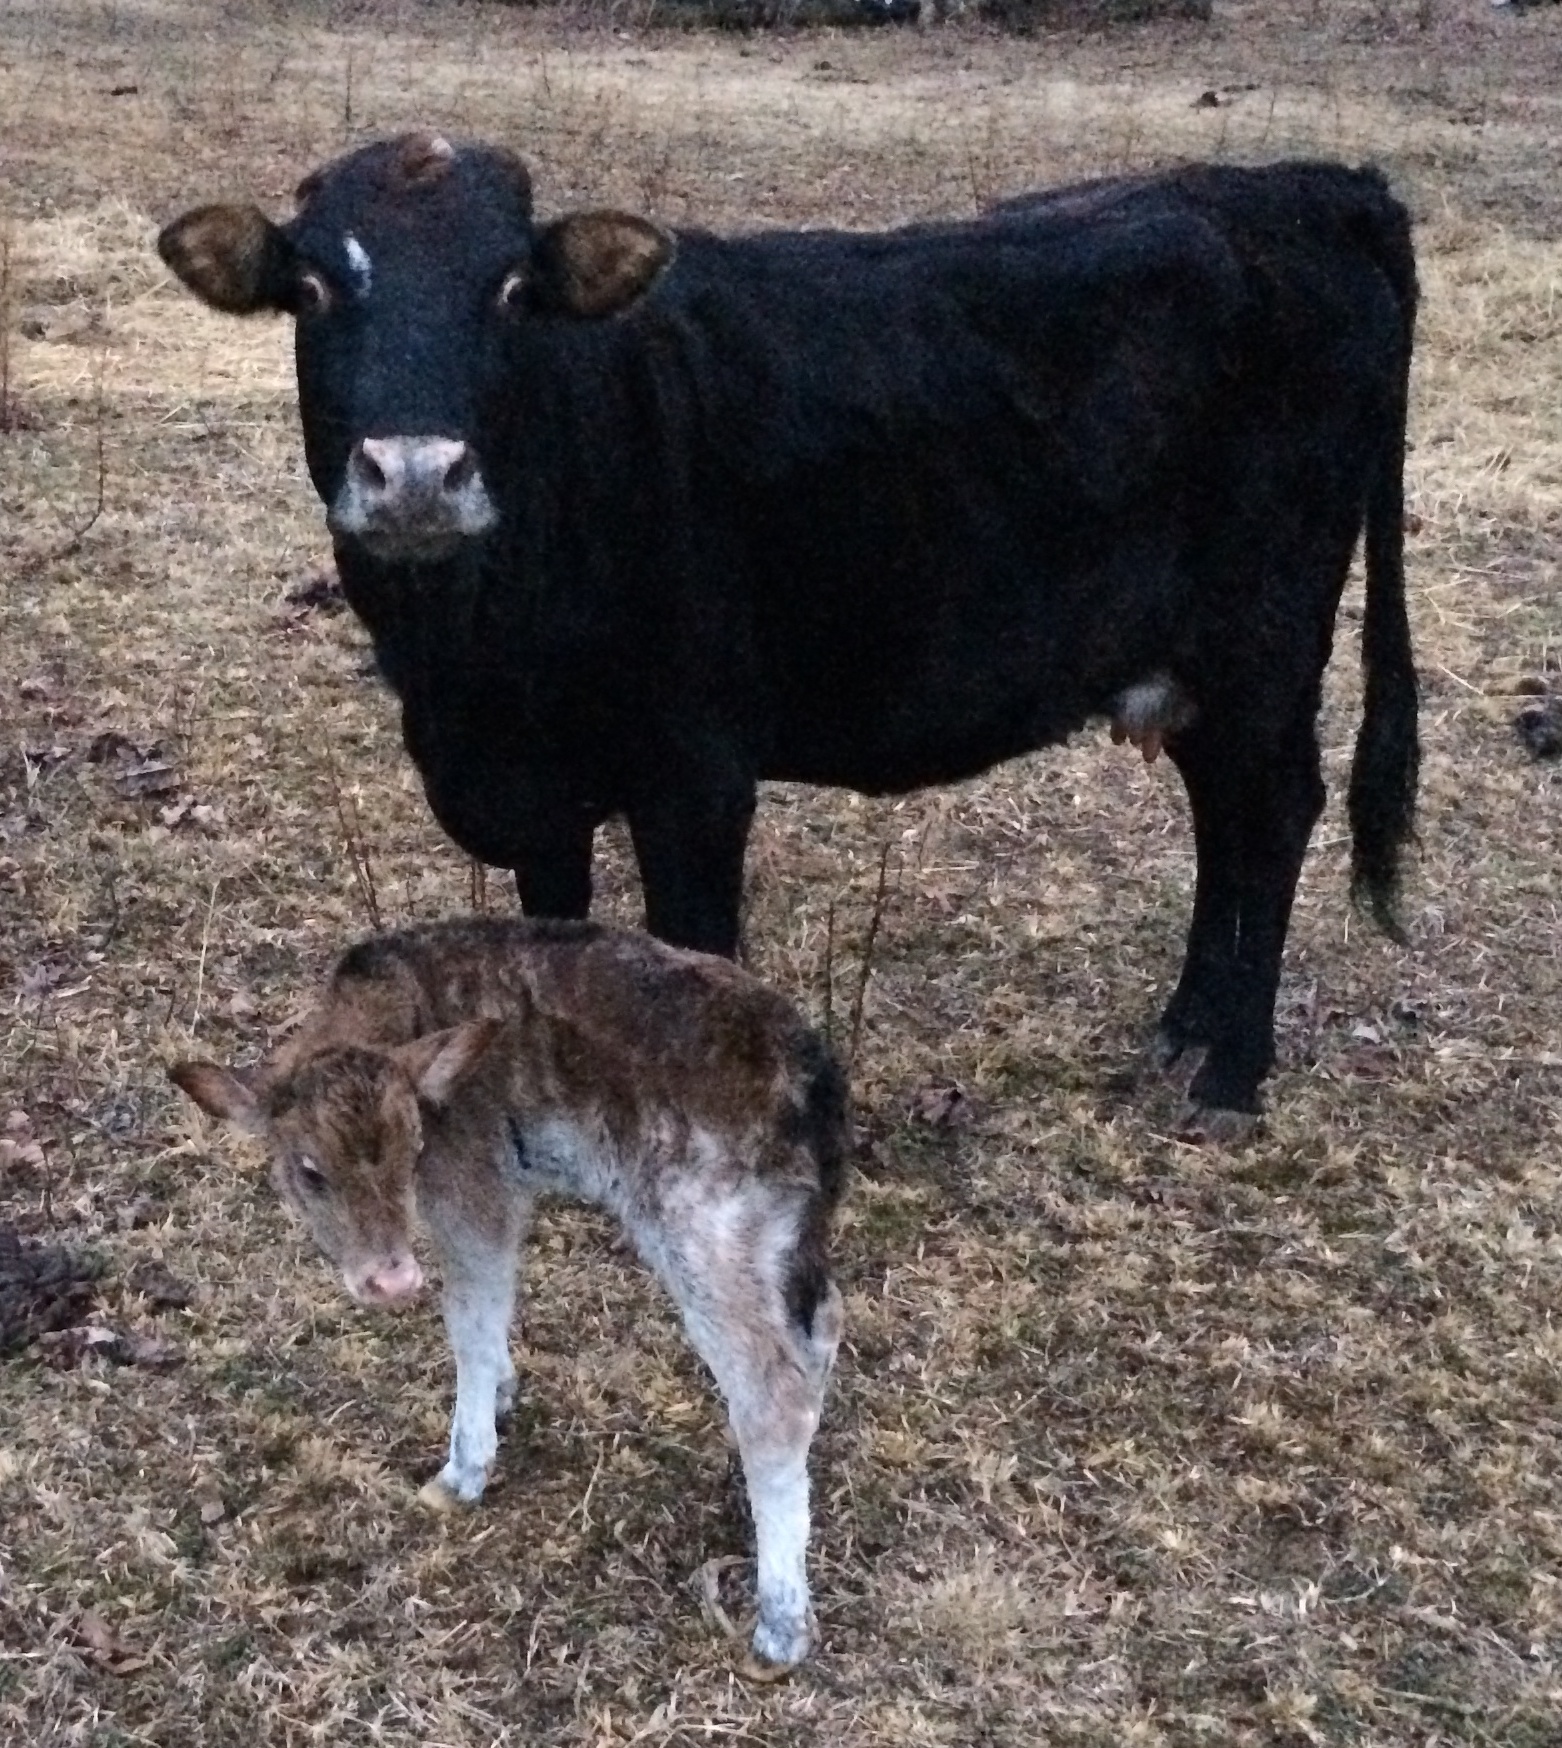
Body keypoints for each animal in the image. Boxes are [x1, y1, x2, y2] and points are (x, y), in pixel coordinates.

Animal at [157, 138, 1419, 1130]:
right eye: (311, 286)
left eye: (512, 288)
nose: (415, 473)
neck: (469, 670)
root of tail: (1309, 186)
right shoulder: (539, 789)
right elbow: (550, 938)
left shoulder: (695, 774)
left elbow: (697, 945)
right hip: (1192, 657)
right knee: (1223, 815)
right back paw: (1183, 1025)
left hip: (1266, 636)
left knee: (1276, 810)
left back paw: (1232, 1074)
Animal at [169, 916, 848, 1674]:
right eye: (309, 1169)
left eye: (416, 1146)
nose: (390, 1279)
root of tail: (813, 1081)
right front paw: (503, 1390)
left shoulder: (479, 1190)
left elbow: (471, 1316)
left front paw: (464, 1468)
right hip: (779, 1244)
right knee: (821, 1330)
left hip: (705, 1237)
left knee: (774, 1393)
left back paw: (780, 1624)